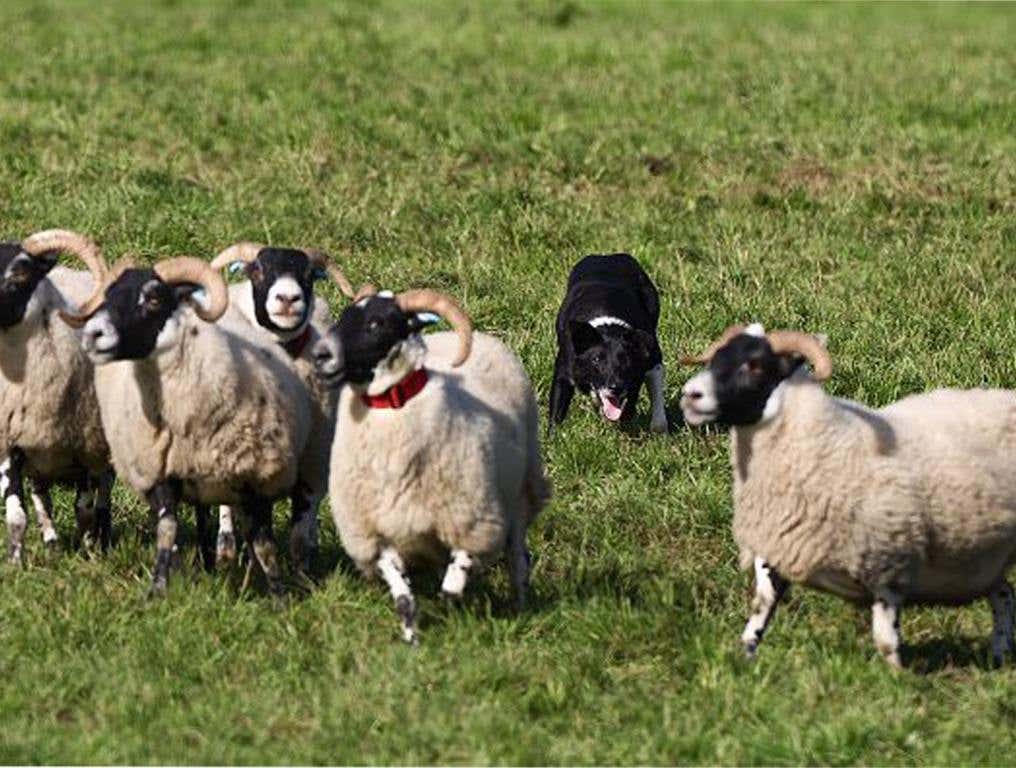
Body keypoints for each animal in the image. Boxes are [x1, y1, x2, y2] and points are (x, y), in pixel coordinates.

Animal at [0, 229, 115, 564]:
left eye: (21, 271)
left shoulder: (87, 447)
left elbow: (84, 508)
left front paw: (90, 554)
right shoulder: (10, 443)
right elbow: (16, 514)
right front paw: (16, 562)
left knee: (104, 494)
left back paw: (103, 538)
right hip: (40, 457)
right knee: (42, 498)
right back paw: (51, 542)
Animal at [60, 254, 312, 597]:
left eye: (154, 298)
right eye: (108, 296)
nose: (93, 334)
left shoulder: (255, 476)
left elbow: (264, 543)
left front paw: (279, 595)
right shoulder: (161, 471)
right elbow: (167, 528)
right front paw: (158, 588)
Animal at [207, 241, 357, 577]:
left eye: (309, 275)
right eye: (258, 270)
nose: (288, 298)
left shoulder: (313, 466)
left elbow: (299, 533)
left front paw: (304, 577)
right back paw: (225, 552)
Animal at [314, 286, 548, 642]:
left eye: (376, 323)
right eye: (343, 317)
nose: (321, 355)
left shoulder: (471, 519)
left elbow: (454, 582)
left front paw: (453, 610)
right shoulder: (375, 534)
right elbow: (403, 597)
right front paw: (412, 638)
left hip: (520, 493)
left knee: (518, 556)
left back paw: (520, 604)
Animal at [678, 321, 1016, 670]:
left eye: (755, 365)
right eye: (715, 359)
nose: (690, 395)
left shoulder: (889, 563)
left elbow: (886, 638)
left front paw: (897, 678)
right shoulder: (779, 551)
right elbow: (761, 611)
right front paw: (745, 660)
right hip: (985, 556)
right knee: (1004, 593)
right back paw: (999, 655)